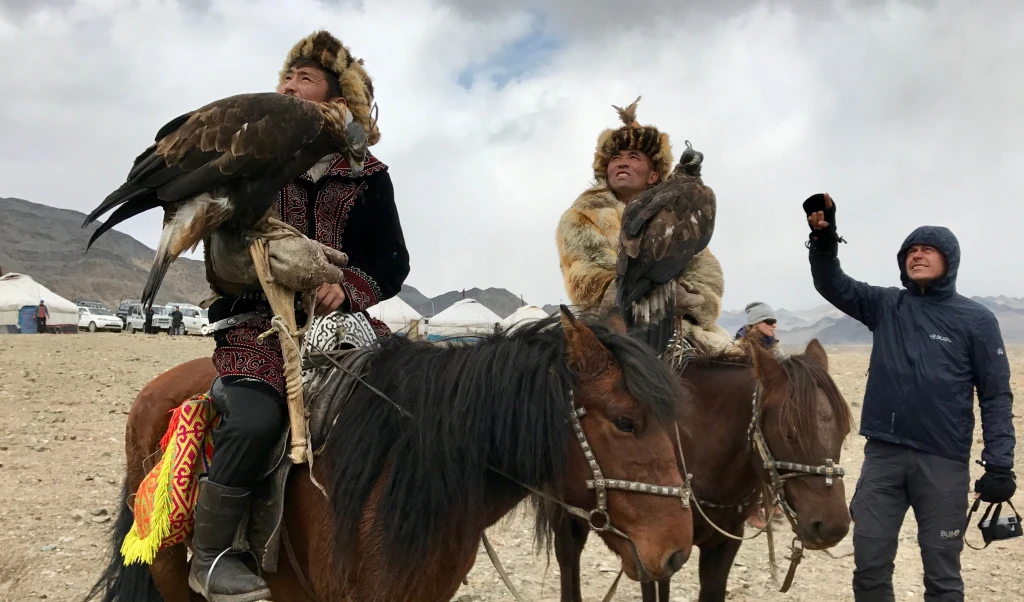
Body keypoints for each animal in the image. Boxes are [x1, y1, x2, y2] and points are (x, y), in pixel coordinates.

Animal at [557, 337, 851, 602]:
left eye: (845, 430)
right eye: (789, 432)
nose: (832, 527)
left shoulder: (725, 541)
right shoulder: (652, 550)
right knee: (568, 559)